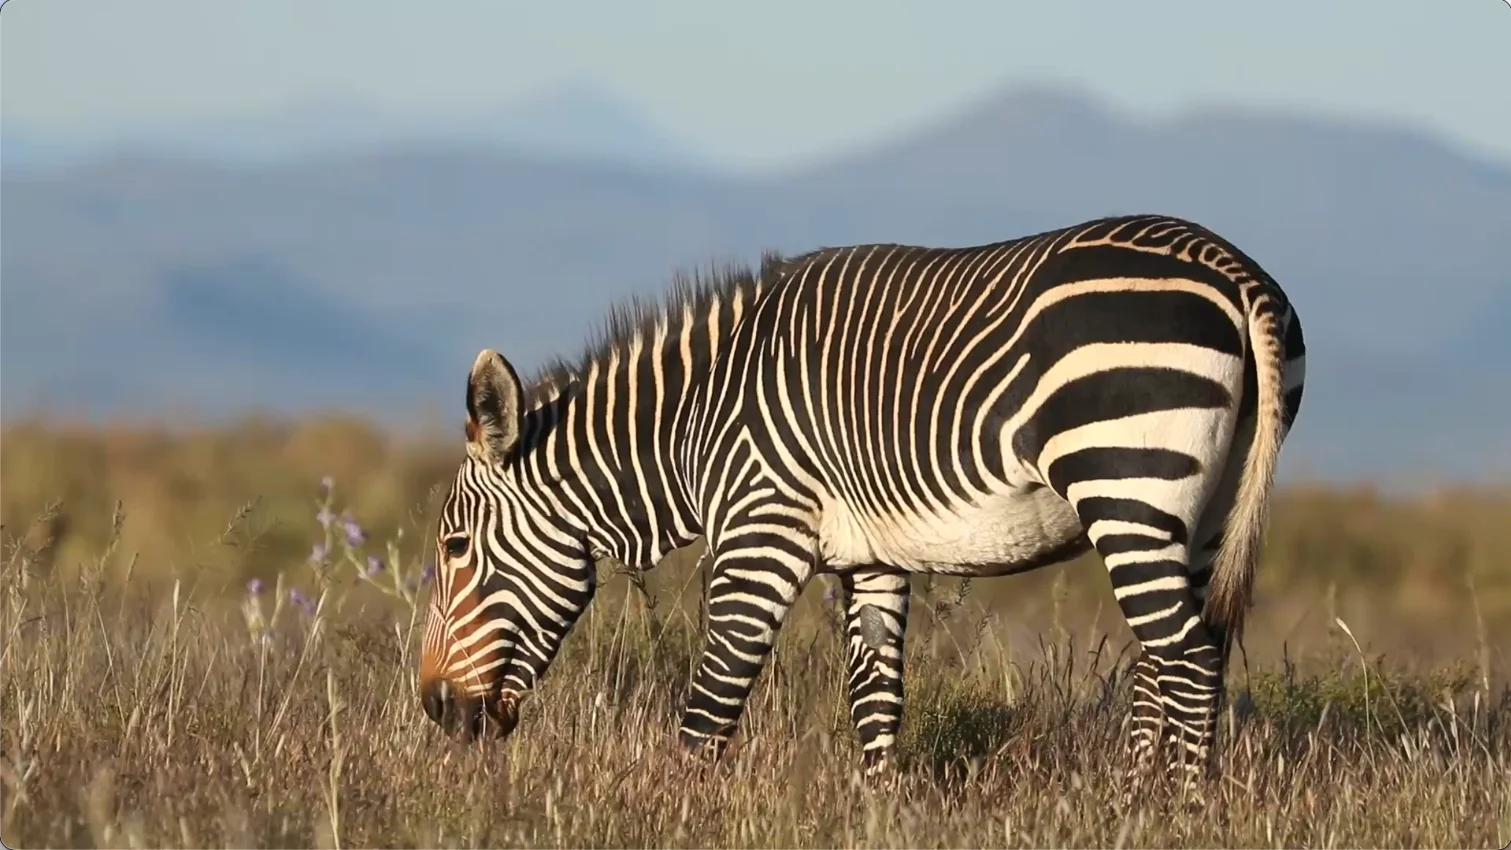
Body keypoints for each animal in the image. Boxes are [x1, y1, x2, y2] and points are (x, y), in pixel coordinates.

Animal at [416, 213, 1306, 799]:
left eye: (454, 548)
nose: (432, 709)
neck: (694, 419)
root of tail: (1231, 268)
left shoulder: (760, 529)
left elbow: (709, 705)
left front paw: (669, 812)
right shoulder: (873, 559)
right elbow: (875, 700)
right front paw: (878, 810)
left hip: (1125, 479)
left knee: (1186, 660)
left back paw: (1176, 812)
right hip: (1204, 510)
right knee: (1179, 654)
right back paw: (1126, 802)